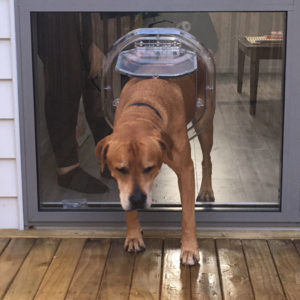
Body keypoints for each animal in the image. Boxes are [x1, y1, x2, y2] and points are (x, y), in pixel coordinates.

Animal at [95, 61, 214, 264]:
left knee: (207, 159)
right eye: (121, 170)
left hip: (205, 123)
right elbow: (127, 207)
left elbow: (188, 215)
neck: (142, 110)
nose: (137, 199)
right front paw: (134, 235)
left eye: (149, 168)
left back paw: (206, 189)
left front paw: (189, 248)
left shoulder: (185, 171)